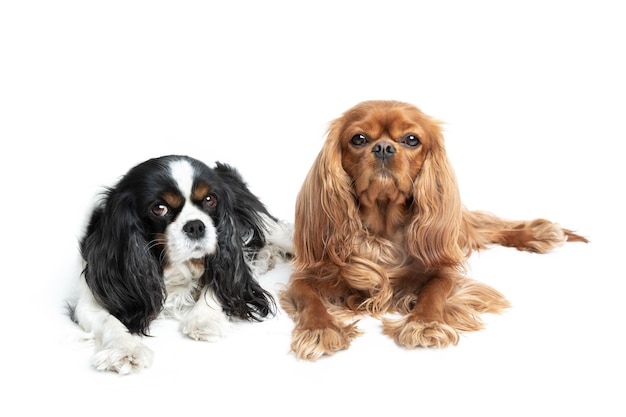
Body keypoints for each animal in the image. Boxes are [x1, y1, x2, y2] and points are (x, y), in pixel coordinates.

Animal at [68, 155, 292, 374]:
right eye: (159, 208)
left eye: (210, 199)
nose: (196, 226)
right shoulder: (93, 292)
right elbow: (108, 320)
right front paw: (125, 348)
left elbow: (221, 282)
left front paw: (204, 318)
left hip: (267, 225)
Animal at [278, 99, 584, 360]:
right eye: (359, 139)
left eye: (411, 139)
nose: (384, 148)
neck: (383, 228)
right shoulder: (308, 275)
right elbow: (310, 300)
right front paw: (320, 330)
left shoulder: (443, 269)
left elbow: (434, 292)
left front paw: (424, 324)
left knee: (486, 227)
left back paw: (540, 233)